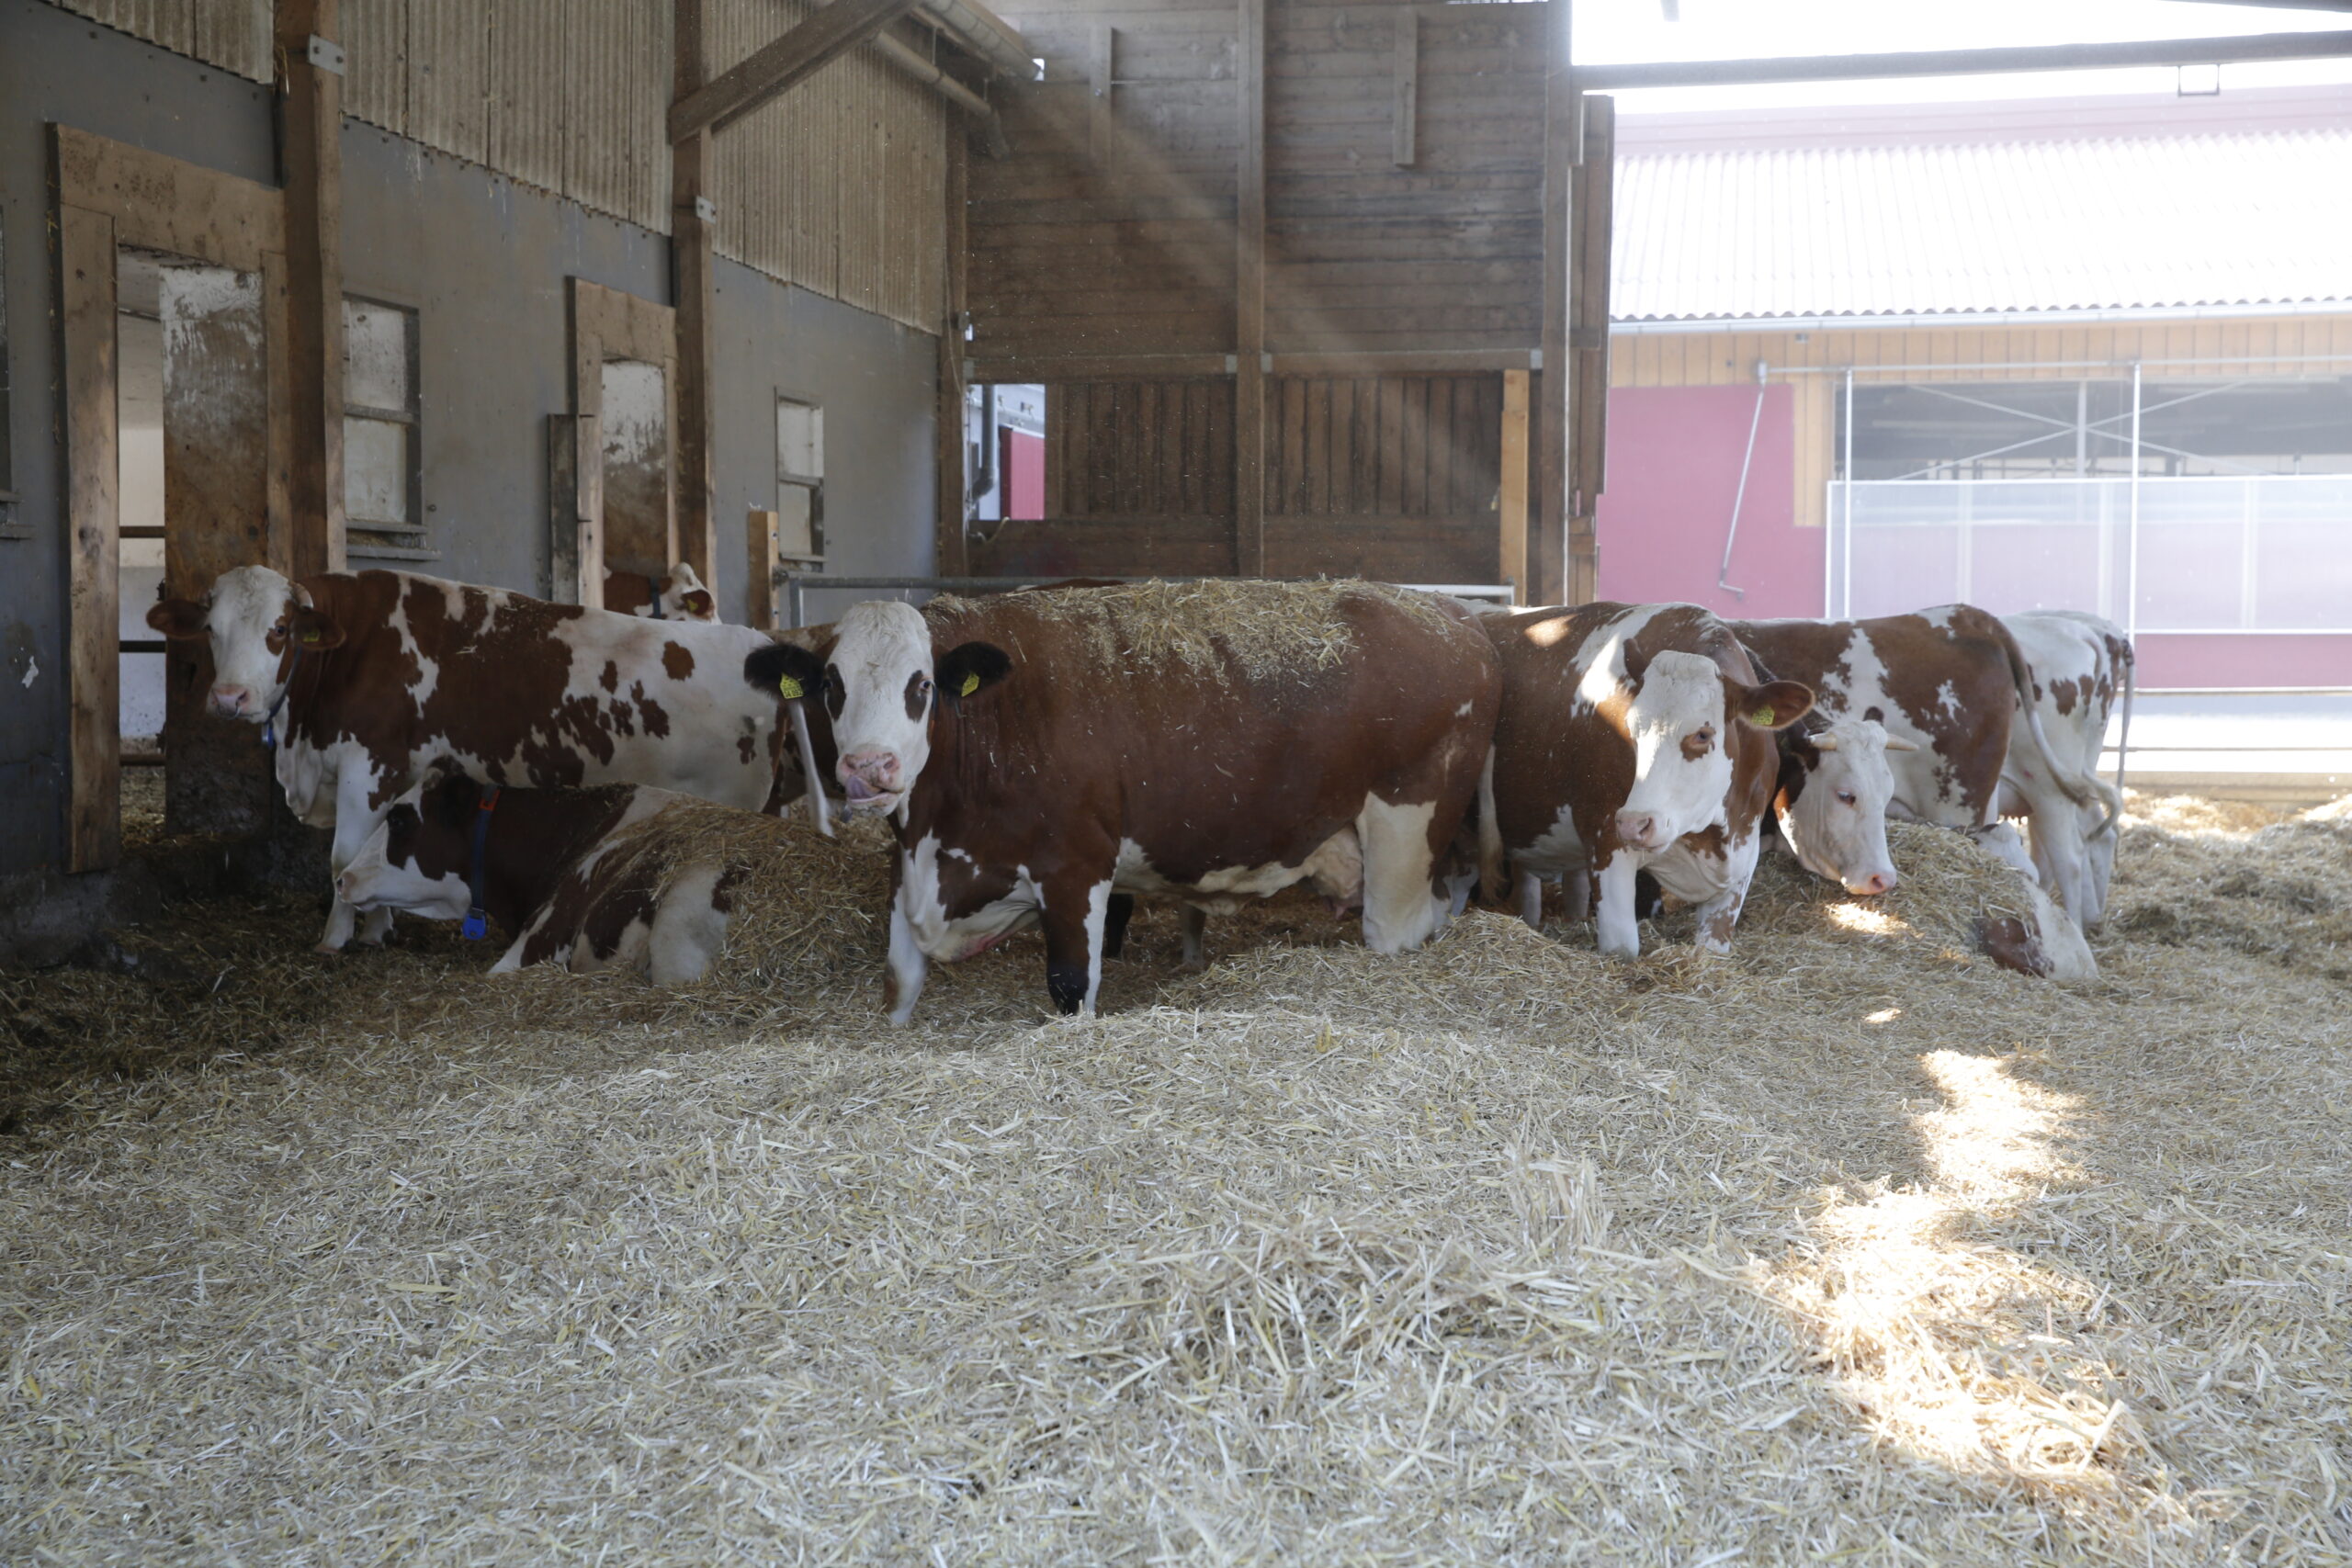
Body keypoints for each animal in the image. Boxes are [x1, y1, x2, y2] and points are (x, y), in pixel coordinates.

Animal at [147, 566, 806, 953]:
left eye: (281, 629)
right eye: (211, 628)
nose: (230, 697)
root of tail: (759, 646)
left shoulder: (369, 761)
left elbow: (340, 856)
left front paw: (335, 941)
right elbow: (378, 847)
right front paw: (379, 927)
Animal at [741, 580, 1502, 1023]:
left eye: (921, 685)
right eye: (831, 685)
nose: (869, 767)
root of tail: (1454, 617)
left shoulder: (1075, 867)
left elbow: (1071, 985)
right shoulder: (913, 873)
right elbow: (898, 985)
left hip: (1404, 834)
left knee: (1403, 928)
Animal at [1477, 602, 1815, 958]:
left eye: (1702, 734)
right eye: (1632, 728)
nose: (1634, 824)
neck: (1711, 831)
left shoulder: (1740, 861)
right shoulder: (1606, 843)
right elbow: (1622, 947)